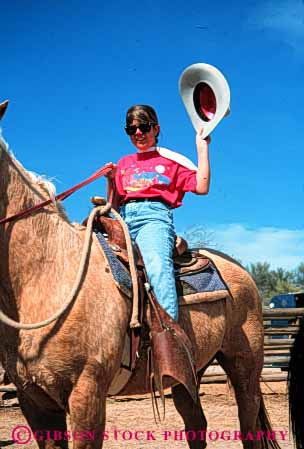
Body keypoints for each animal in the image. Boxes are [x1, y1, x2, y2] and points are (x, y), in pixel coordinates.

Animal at [0, 119, 280, 448]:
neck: (48, 276)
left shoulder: (87, 394)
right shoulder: (33, 400)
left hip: (244, 366)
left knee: (248, 426)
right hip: (191, 373)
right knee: (196, 424)